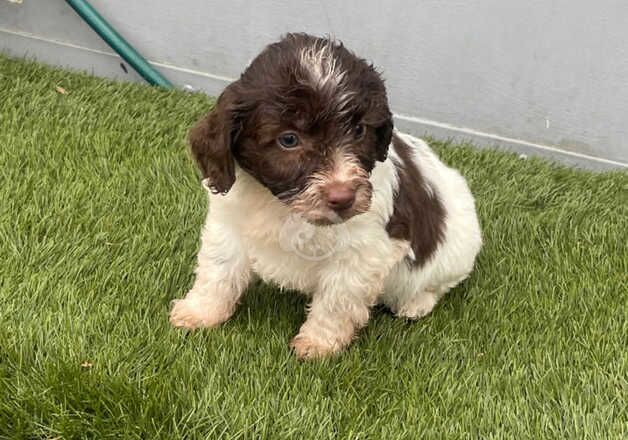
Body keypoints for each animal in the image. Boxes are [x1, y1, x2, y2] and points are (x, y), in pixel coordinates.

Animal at [169, 33, 484, 358]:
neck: (286, 207)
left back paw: (415, 303)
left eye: (358, 130)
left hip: (456, 253)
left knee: (438, 284)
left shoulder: (361, 252)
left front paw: (318, 344)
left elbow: (336, 300)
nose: (343, 197)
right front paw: (199, 312)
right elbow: (218, 269)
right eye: (289, 139)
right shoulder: (229, 221)